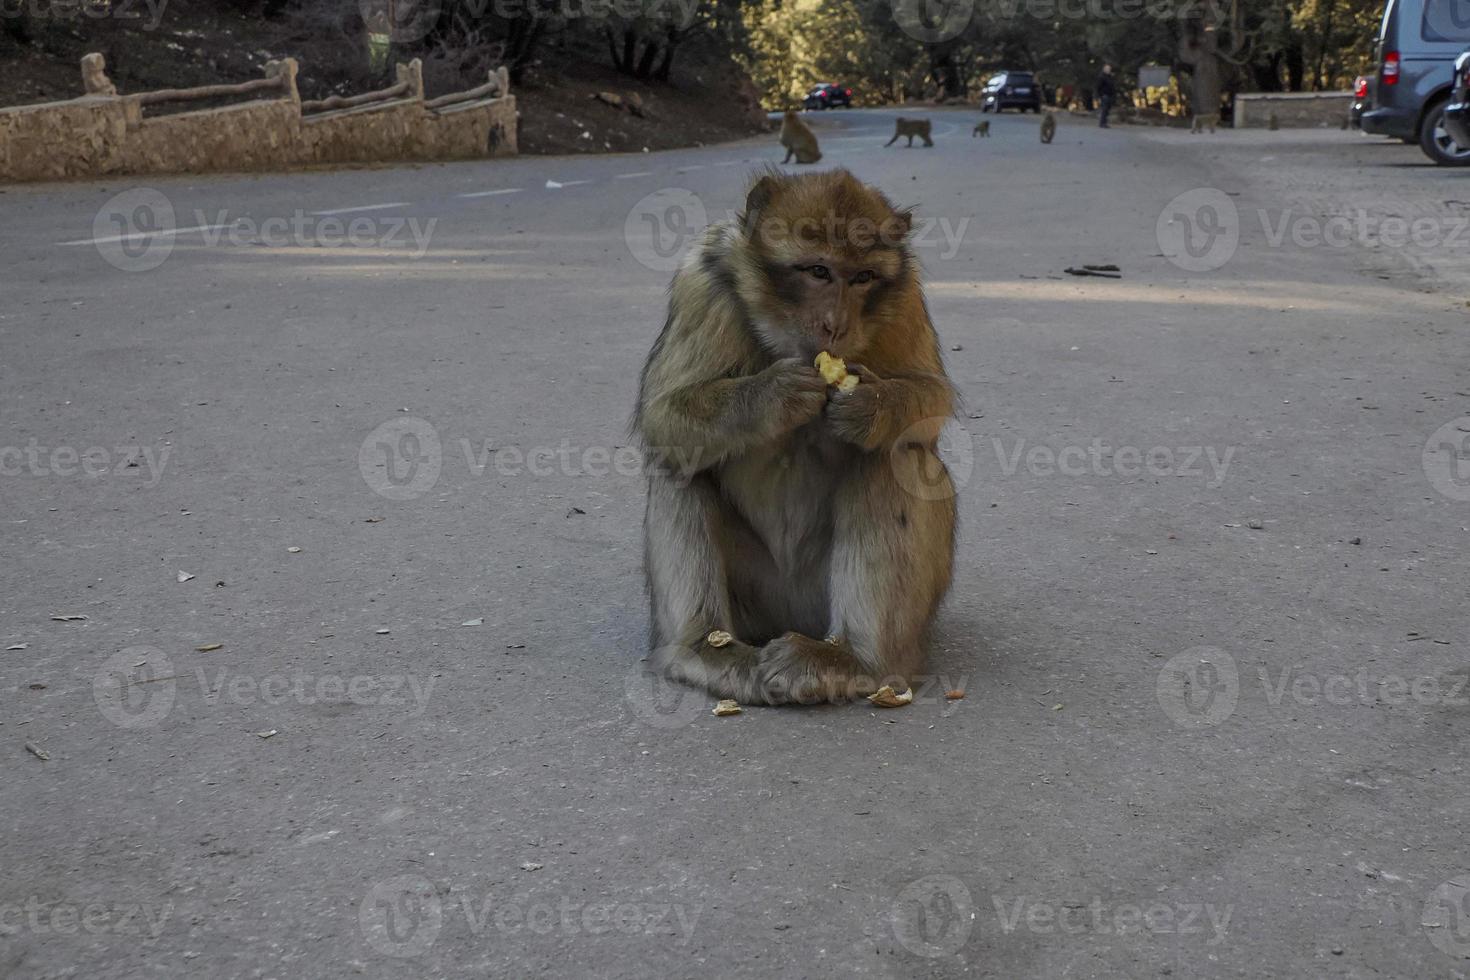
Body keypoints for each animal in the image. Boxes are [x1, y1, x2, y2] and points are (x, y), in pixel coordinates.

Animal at [635, 168, 958, 705]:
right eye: (819, 271)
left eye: (863, 277)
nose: (836, 325)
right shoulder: (702, 282)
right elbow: (661, 418)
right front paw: (774, 395)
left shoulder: (904, 292)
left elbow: (932, 402)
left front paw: (868, 406)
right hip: (760, 602)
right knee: (680, 465)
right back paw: (706, 649)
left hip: (820, 604)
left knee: (895, 458)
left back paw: (856, 660)